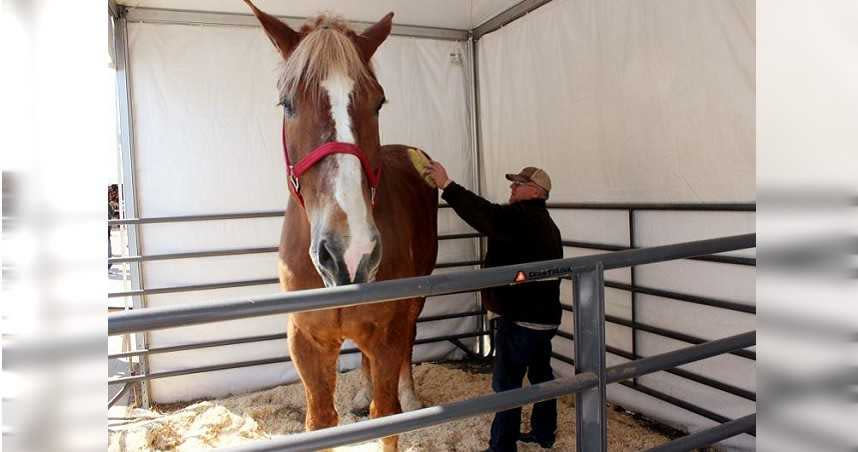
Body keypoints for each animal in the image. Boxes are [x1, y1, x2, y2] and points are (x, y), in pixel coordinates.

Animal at [246, 2, 438, 448]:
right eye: (287, 104)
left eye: (379, 102)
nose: (350, 254)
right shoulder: (307, 342)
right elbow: (320, 423)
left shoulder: (387, 333)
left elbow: (387, 418)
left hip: (415, 302)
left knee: (410, 340)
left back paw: (410, 395)